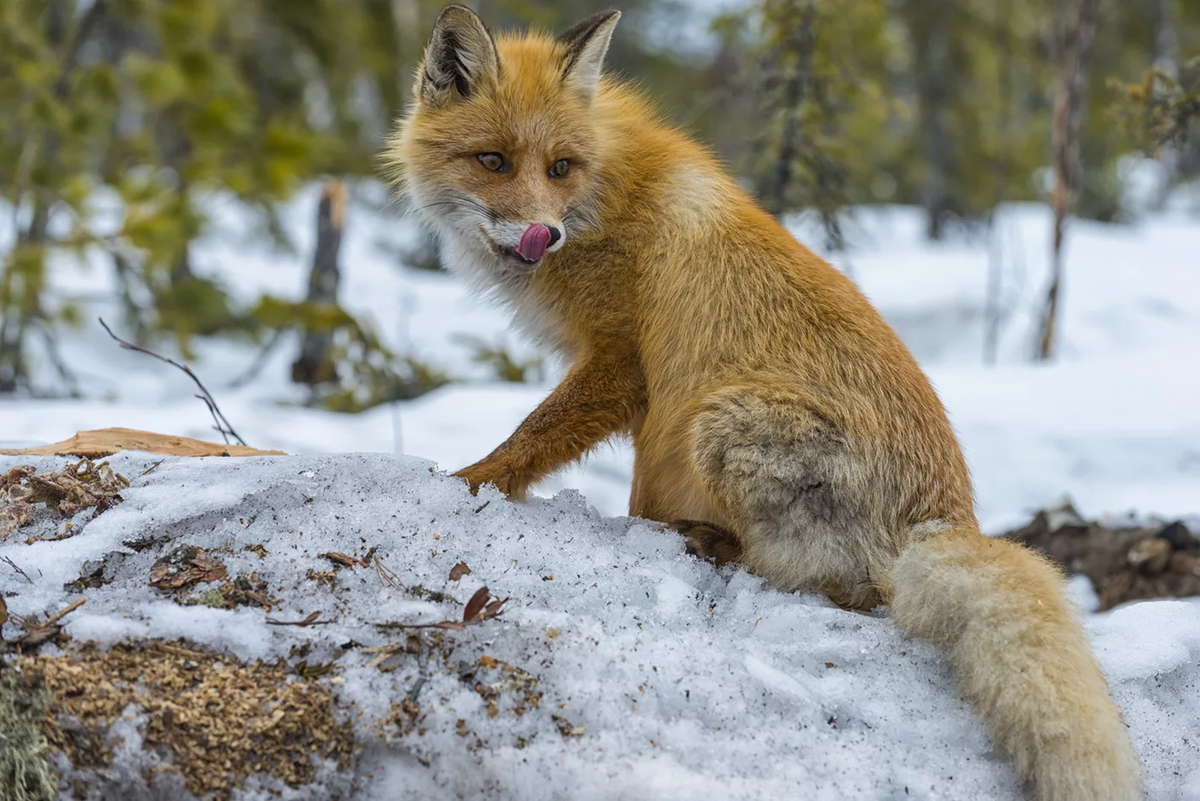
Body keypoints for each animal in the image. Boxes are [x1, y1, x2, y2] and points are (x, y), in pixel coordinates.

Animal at [384, 7, 1142, 801]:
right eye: (493, 160)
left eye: (560, 168)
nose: (544, 232)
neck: (603, 201)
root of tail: (944, 520)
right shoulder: (642, 400)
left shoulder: (627, 368)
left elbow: (527, 443)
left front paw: (464, 487)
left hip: (719, 423)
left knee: (834, 587)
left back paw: (715, 547)